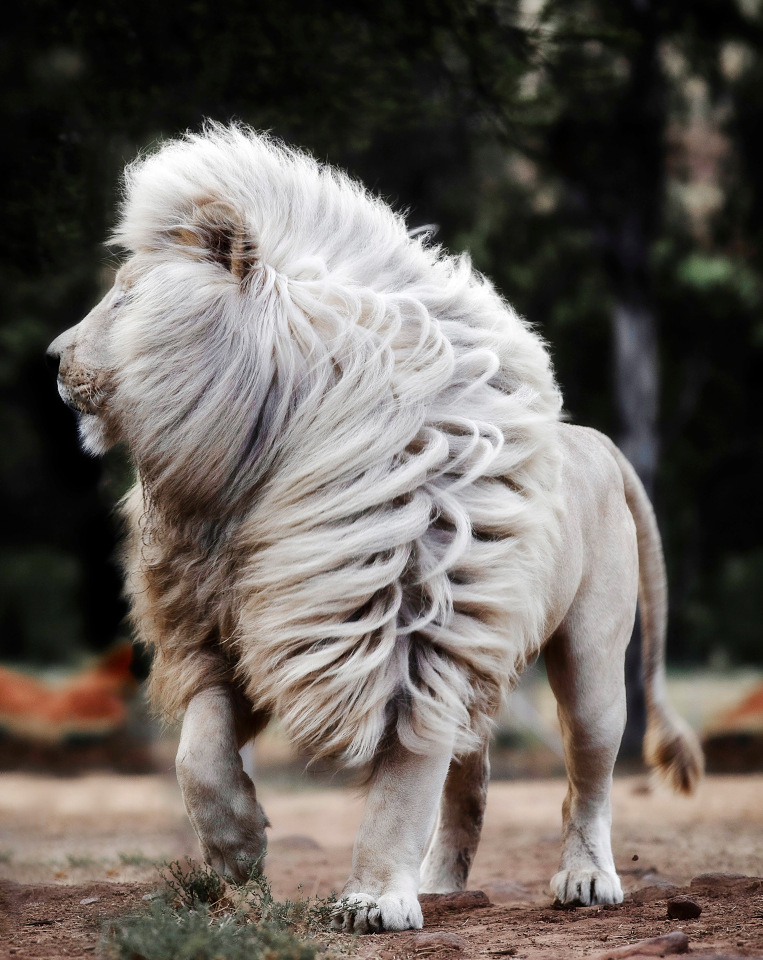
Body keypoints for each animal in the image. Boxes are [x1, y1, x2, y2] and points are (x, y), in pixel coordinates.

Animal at [49, 124, 704, 932]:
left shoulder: (415, 640)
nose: (53, 357)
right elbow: (195, 757)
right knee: (472, 774)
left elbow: (400, 788)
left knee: (587, 776)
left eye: (128, 296)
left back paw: (585, 879)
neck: (252, 472)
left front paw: (373, 899)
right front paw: (238, 854)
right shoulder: (234, 630)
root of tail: (597, 441)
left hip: (590, 660)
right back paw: (440, 881)